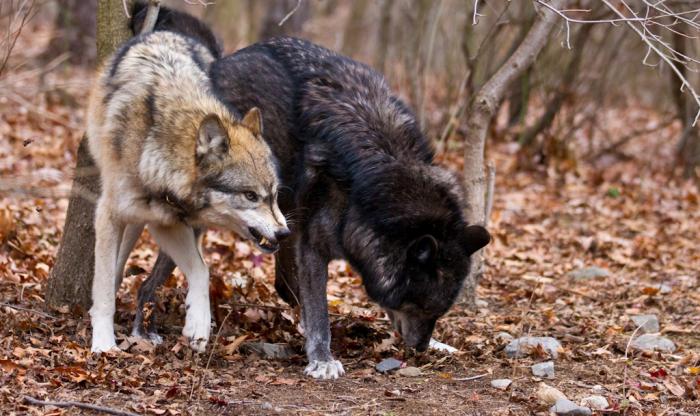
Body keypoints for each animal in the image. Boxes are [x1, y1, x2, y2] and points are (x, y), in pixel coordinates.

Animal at [88, 28, 290, 354]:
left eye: (273, 195)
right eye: (250, 196)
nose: (284, 233)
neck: (154, 149)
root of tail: (168, 32)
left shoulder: (166, 223)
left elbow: (201, 270)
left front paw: (198, 324)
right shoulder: (109, 213)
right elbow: (105, 287)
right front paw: (104, 344)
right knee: (114, 267)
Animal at [133, 4, 492, 380]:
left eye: (440, 311)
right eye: (420, 305)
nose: (420, 348)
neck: (383, 166)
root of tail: (218, 63)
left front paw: (439, 343)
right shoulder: (315, 247)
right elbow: (319, 308)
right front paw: (322, 358)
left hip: (280, 223)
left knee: (283, 282)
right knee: (150, 282)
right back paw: (144, 330)